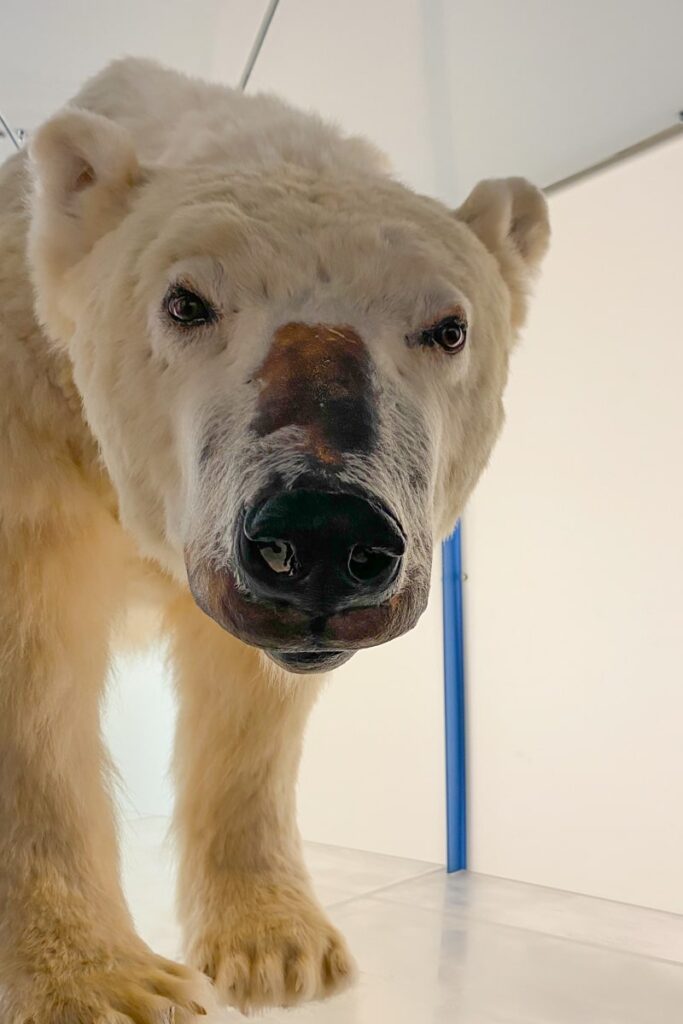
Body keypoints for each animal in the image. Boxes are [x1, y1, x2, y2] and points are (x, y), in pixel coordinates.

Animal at [0, 59, 548, 1019]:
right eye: (185, 302)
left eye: (448, 327)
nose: (323, 533)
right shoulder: (29, 433)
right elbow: (30, 683)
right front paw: (103, 983)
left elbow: (248, 699)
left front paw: (280, 951)